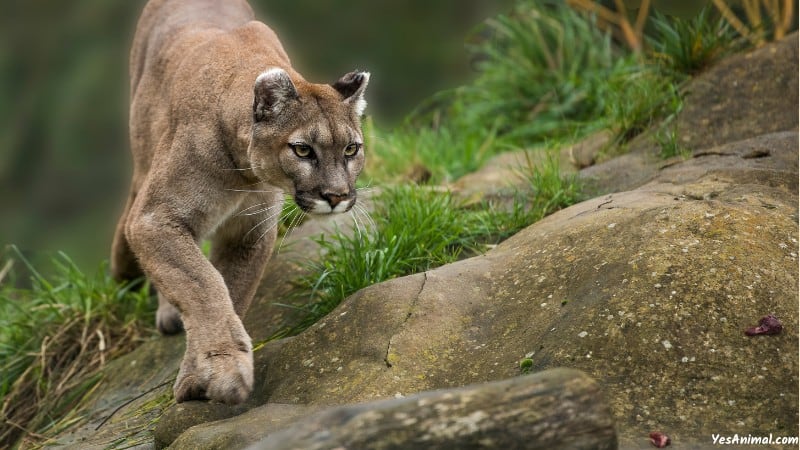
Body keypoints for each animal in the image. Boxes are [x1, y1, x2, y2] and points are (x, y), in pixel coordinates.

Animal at [111, 0, 370, 402]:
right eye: (302, 150)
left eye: (351, 149)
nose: (337, 196)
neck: (243, 175)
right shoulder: (155, 218)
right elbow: (203, 285)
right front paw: (225, 369)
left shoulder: (249, 230)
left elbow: (230, 289)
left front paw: (199, 373)